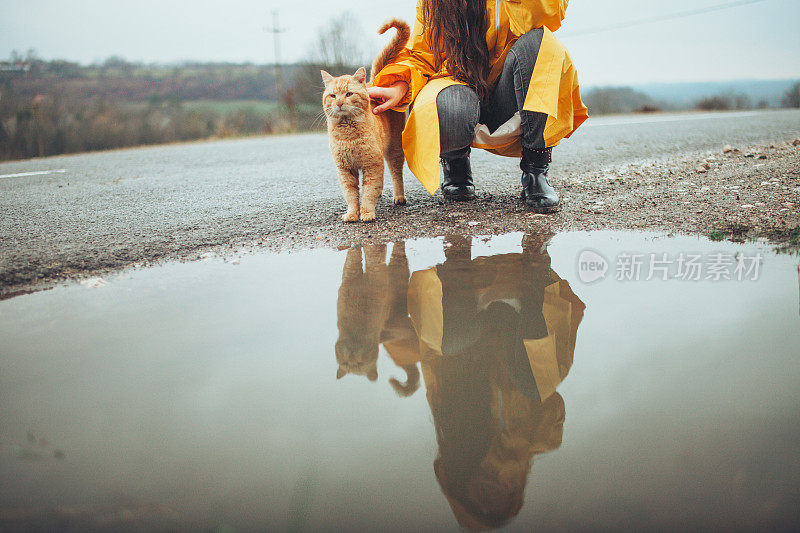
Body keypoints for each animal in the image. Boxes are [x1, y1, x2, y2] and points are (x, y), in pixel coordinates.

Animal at [322, 19, 410, 221]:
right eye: (332, 95)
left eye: (348, 94)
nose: (339, 103)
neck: (348, 135)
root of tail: (374, 82)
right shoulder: (345, 170)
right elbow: (351, 194)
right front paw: (352, 213)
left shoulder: (372, 164)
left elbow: (368, 191)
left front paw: (367, 212)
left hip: (394, 150)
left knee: (396, 174)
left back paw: (399, 197)